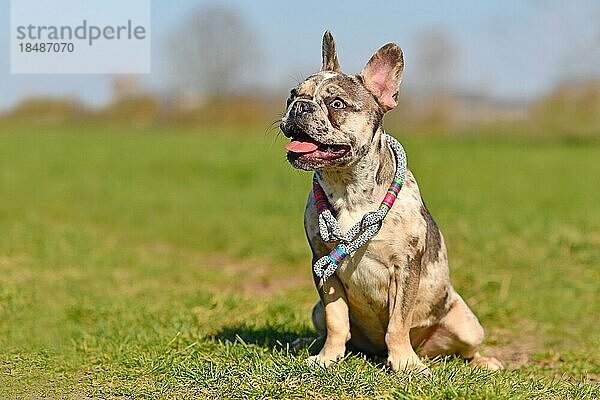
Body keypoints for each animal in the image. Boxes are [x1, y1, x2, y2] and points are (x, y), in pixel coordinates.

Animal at [280, 32, 502, 374]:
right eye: (291, 95)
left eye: (336, 103)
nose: (299, 106)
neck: (349, 188)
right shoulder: (323, 267)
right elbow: (336, 320)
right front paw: (328, 356)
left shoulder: (405, 268)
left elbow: (398, 322)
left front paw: (405, 364)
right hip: (315, 310)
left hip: (467, 325)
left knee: (465, 351)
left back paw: (480, 361)